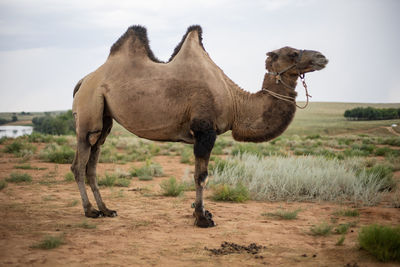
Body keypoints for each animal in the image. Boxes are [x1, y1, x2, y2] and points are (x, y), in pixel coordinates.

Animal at [72, 25, 328, 228]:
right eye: (293, 53)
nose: (322, 57)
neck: (235, 101)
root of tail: (83, 80)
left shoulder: (204, 133)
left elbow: (201, 175)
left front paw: (203, 212)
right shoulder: (205, 130)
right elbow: (201, 176)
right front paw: (202, 218)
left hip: (104, 118)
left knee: (93, 160)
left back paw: (106, 209)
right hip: (88, 112)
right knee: (79, 163)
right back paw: (90, 211)